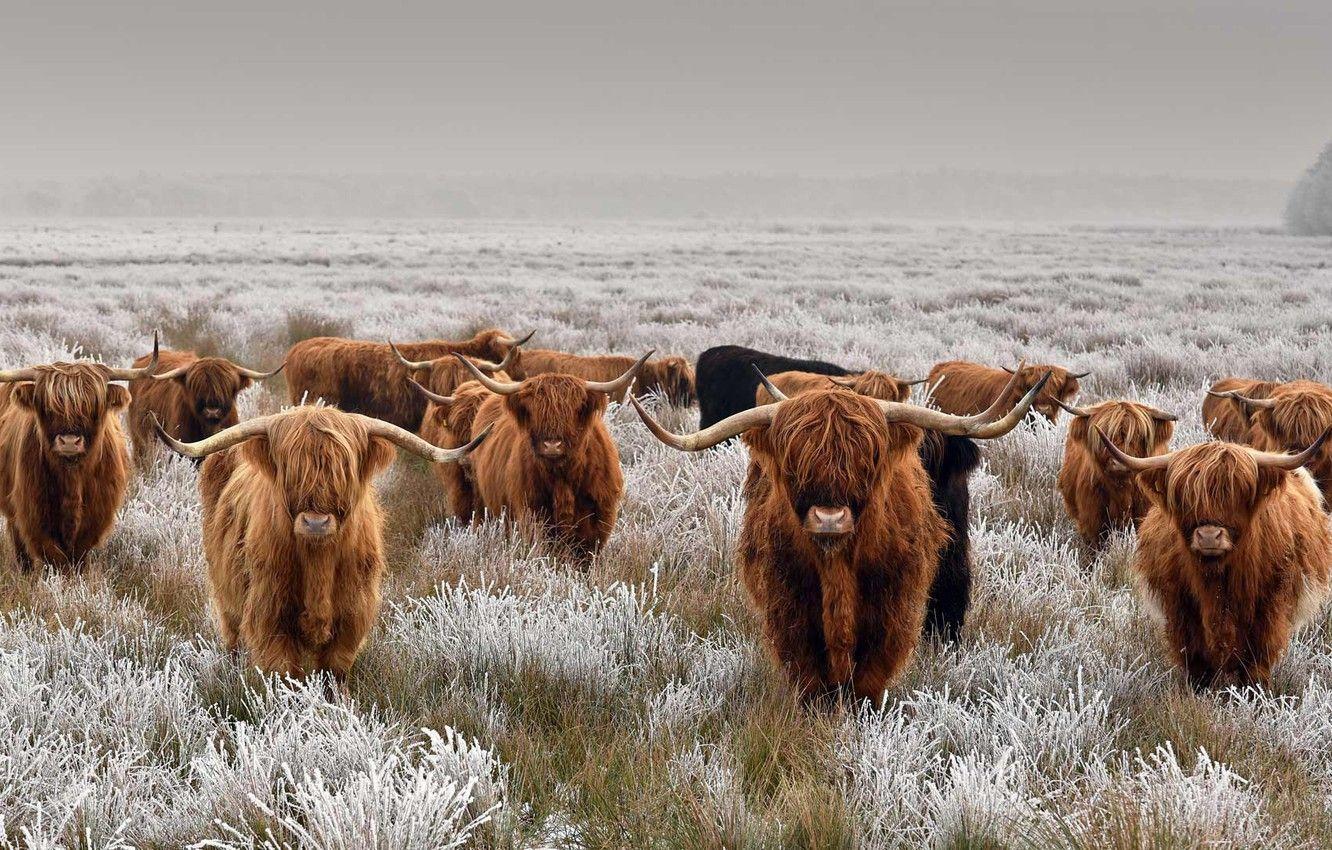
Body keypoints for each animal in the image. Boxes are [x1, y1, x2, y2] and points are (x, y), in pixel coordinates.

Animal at [0, 336, 158, 570]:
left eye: (93, 406)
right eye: (48, 407)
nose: (69, 441)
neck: (72, 478)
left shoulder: (96, 517)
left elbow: (77, 557)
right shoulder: (33, 515)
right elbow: (54, 557)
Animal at [153, 405, 488, 679]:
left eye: (344, 469)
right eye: (290, 469)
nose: (316, 522)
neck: (318, 562)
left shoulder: (352, 615)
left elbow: (334, 671)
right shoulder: (269, 613)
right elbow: (285, 672)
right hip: (227, 594)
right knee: (232, 635)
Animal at [455, 351, 649, 560]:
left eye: (574, 410)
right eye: (533, 411)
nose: (552, 445)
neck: (562, 478)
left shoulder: (598, 521)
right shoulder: (532, 514)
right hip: (482, 503)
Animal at [1101, 429, 1332, 689]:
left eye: (1238, 493)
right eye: (1184, 497)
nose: (1209, 536)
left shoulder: (1270, 606)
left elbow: (1258, 656)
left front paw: (1254, 690)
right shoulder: (1180, 606)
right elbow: (1195, 655)